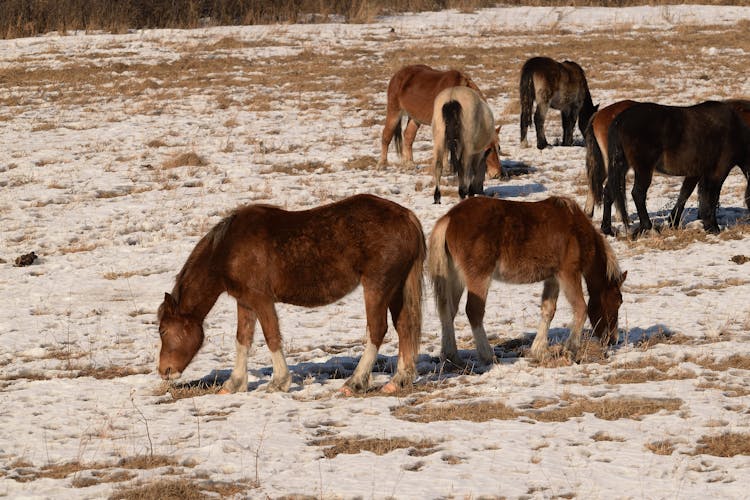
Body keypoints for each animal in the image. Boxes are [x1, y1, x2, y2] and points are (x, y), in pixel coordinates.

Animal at [157, 194, 428, 394]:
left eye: (163, 331)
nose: (164, 371)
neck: (228, 250)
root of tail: (407, 217)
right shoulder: (245, 303)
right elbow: (242, 340)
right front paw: (234, 383)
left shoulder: (261, 300)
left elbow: (271, 337)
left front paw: (279, 382)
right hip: (396, 287)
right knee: (404, 327)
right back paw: (398, 381)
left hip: (377, 285)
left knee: (377, 329)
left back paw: (355, 383)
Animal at [428, 196, 628, 368]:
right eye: (618, 301)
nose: (612, 340)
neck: (576, 230)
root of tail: (450, 218)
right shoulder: (569, 273)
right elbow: (581, 308)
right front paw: (570, 350)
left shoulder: (553, 278)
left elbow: (548, 310)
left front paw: (539, 349)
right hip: (479, 277)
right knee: (473, 312)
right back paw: (487, 355)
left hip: (456, 278)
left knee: (448, 312)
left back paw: (451, 356)